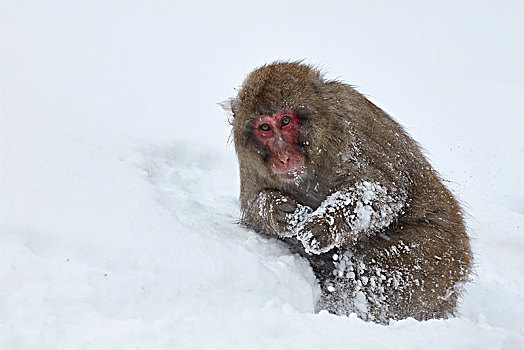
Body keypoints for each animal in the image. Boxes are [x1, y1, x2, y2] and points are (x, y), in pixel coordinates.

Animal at [225, 61, 470, 324]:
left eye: (286, 121)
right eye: (265, 127)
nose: (283, 156)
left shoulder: (349, 124)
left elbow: (384, 192)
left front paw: (325, 224)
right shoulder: (250, 164)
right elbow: (253, 204)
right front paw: (276, 210)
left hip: (437, 256)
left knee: (370, 274)